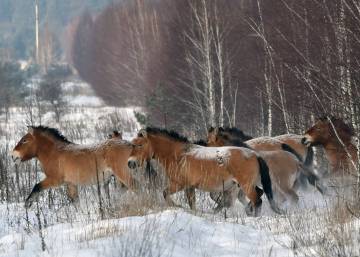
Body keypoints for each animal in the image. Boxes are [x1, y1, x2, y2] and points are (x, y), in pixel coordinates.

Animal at [11, 125, 141, 207]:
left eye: (24, 140)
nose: (13, 156)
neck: (55, 153)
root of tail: (132, 146)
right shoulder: (71, 184)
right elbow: (75, 202)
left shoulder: (54, 180)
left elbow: (37, 186)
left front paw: (27, 204)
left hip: (123, 174)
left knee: (137, 188)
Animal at [127, 127, 284, 215]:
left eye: (139, 145)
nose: (130, 163)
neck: (178, 155)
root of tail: (255, 155)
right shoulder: (190, 187)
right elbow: (192, 203)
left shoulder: (180, 184)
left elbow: (165, 193)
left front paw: (177, 206)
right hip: (244, 185)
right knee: (259, 194)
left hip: (246, 185)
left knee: (257, 200)